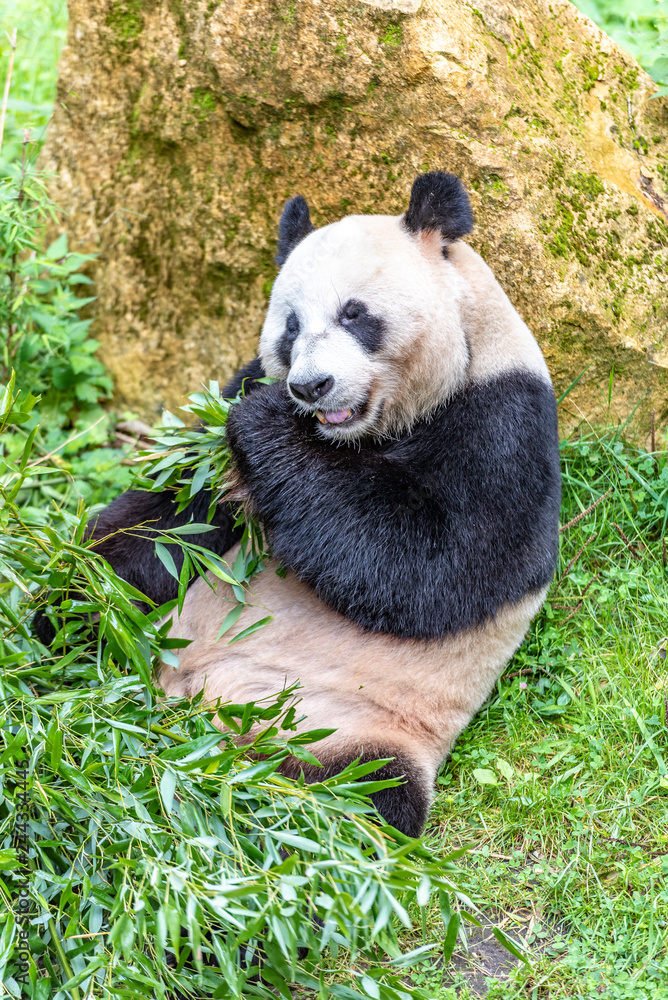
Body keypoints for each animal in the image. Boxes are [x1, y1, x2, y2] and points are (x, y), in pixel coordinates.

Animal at [78, 172, 561, 838]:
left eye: (354, 314)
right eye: (290, 326)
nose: (311, 386)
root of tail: (187, 708)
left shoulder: (505, 419)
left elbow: (434, 564)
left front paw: (267, 426)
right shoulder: (246, 383)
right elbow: (177, 517)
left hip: (347, 724)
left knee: (351, 800)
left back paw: (251, 804)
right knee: (100, 617)